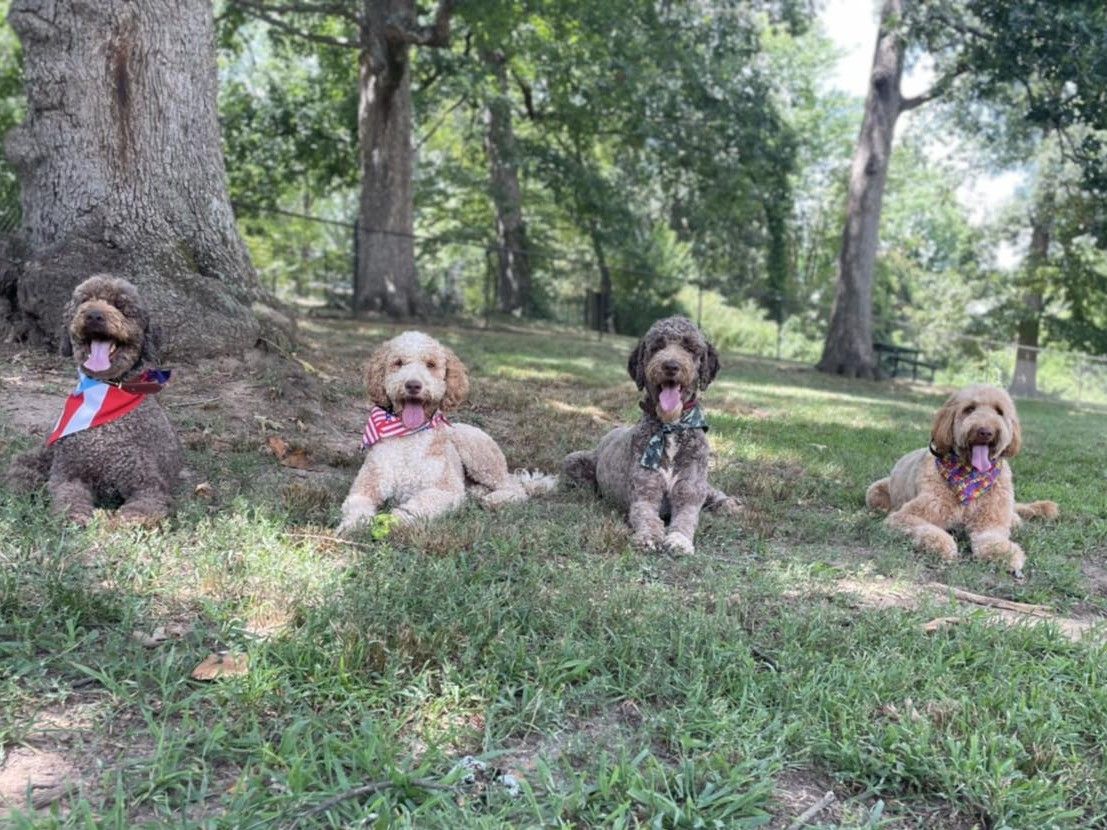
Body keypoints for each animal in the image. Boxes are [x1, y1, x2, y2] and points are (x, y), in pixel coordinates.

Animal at [6, 279, 181, 526]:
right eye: (85, 300)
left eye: (121, 305)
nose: (94, 315)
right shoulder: (69, 474)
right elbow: (69, 497)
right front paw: (76, 517)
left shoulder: (148, 485)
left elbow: (139, 511)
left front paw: (119, 523)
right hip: (48, 450)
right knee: (22, 463)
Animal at [336, 329, 553, 533]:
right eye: (398, 363)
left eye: (431, 364)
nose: (413, 385)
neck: (409, 435)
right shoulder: (367, 485)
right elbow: (355, 504)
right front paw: (352, 525)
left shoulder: (445, 490)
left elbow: (420, 504)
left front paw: (397, 519)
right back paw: (477, 492)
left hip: (480, 457)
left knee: (514, 486)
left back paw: (496, 499)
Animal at [566, 318, 739, 559]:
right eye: (657, 346)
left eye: (690, 347)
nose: (671, 366)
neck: (671, 427)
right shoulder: (645, 493)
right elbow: (647, 517)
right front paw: (648, 537)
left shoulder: (689, 492)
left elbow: (686, 520)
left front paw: (679, 540)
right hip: (572, 460)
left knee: (713, 492)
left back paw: (729, 504)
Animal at [867, 382, 1058, 579]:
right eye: (969, 409)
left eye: (999, 411)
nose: (985, 431)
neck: (970, 479)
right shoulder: (904, 516)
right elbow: (925, 528)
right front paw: (942, 544)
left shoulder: (989, 522)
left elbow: (992, 538)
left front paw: (1004, 553)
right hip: (875, 493)